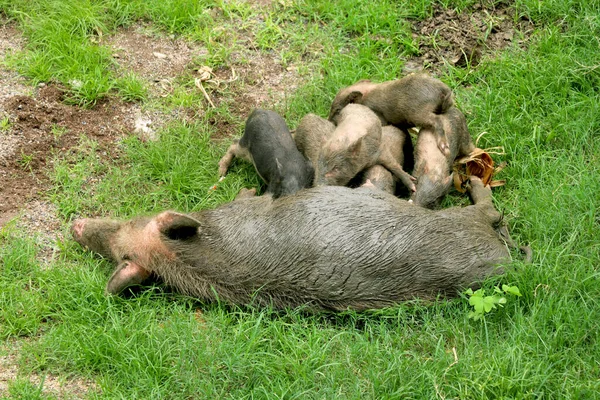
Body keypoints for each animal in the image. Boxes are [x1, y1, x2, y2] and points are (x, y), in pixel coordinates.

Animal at [70, 178, 510, 312]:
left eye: (129, 222)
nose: (74, 224)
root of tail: (506, 262)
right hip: (464, 220)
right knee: (489, 209)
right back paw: (477, 184)